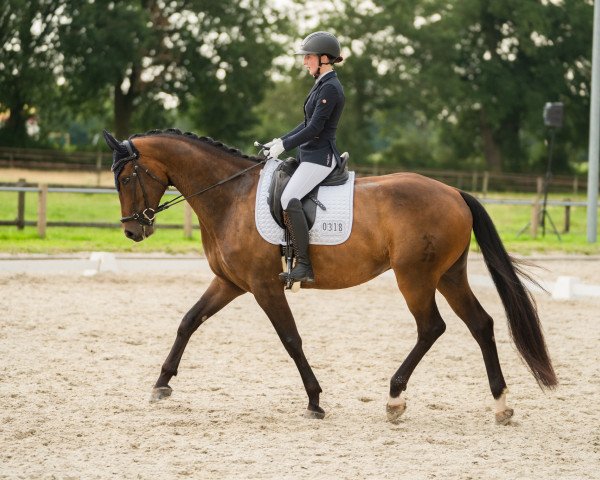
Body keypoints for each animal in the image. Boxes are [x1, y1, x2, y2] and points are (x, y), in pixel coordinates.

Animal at [103, 127, 556, 424]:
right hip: (449, 276)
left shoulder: (264, 286)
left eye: (126, 177)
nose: (132, 231)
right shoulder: (230, 283)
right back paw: (500, 405)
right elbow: (188, 322)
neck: (230, 196)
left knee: (431, 327)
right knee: (481, 324)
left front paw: (315, 401)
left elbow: (291, 340)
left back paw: (395, 398)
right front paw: (161, 384)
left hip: (414, 277)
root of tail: (454, 193)